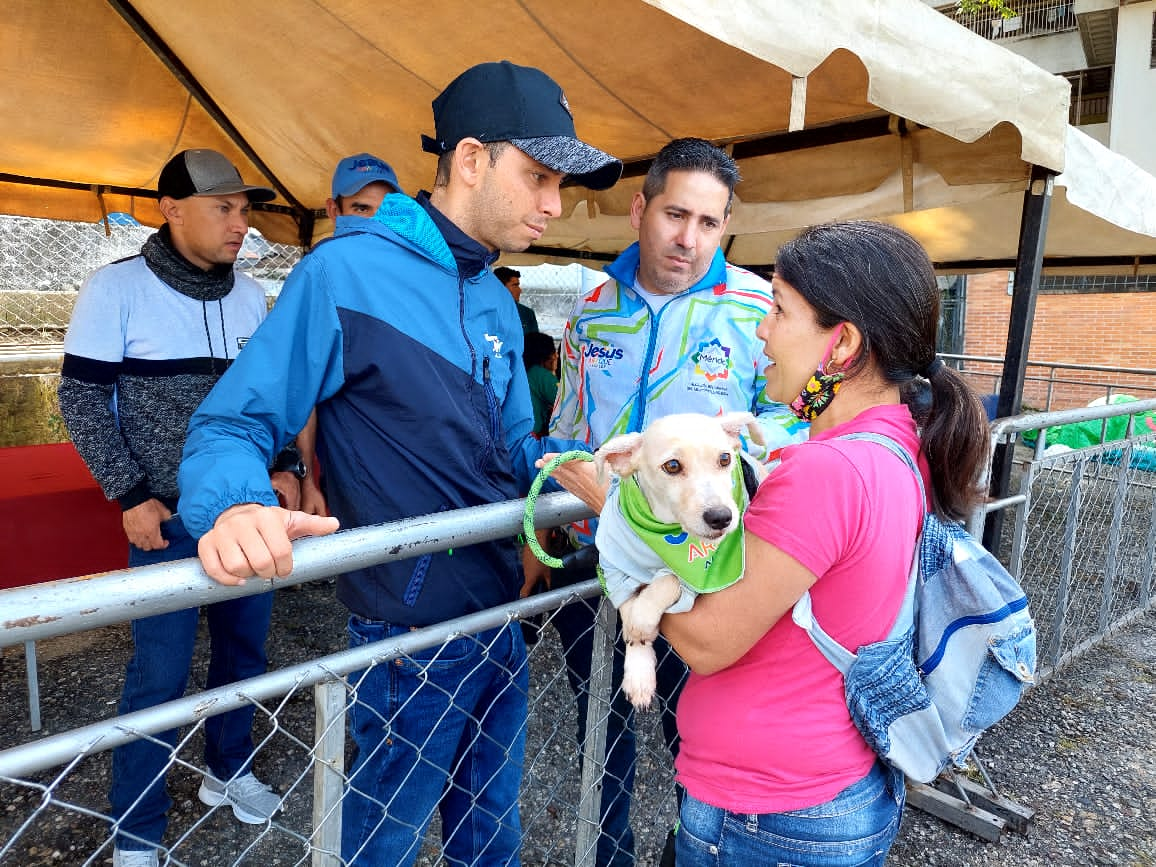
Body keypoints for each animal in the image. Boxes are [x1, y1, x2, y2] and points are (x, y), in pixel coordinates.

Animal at [591, 416, 762, 712]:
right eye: (672, 466)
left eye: (725, 458)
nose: (721, 517)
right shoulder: (614, 567)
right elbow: (627, 604)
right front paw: (639, 672)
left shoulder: (698, 580)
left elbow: (668, 579)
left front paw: (641, 622)